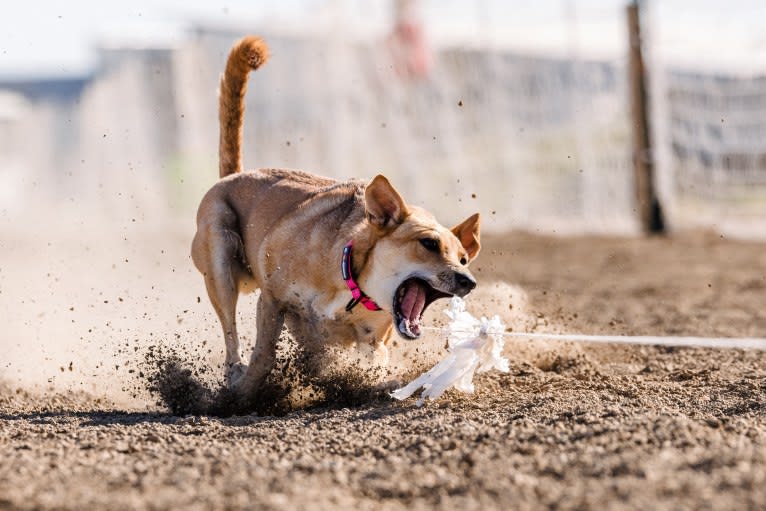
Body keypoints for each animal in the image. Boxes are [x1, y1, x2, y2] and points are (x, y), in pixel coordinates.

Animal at [192, 37, 480, 396]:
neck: (353, 284)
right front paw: (244, 392)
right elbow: (264, 355)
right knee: (230, 333)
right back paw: (234, 373)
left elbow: (371, 360)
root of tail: (234, 175)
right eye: (428, 243)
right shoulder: (272, 299)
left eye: (464, 258)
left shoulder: (374, 339)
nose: (468, 281)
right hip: (219, 258)